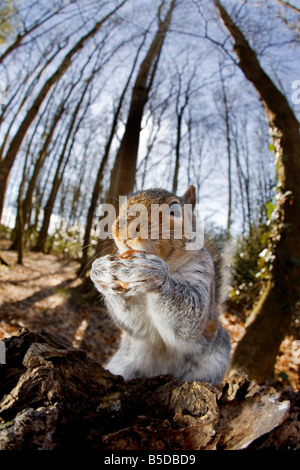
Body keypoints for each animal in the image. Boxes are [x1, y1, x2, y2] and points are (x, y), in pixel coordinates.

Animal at [90, 185, 231, 384]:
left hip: (216, 359)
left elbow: (193, 316)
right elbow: (135, 325)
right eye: (124, 203)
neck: (169, 263)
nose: (125, 230)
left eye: (175, 209)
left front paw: (154, 273)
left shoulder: (203, 271)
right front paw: (101, 271)